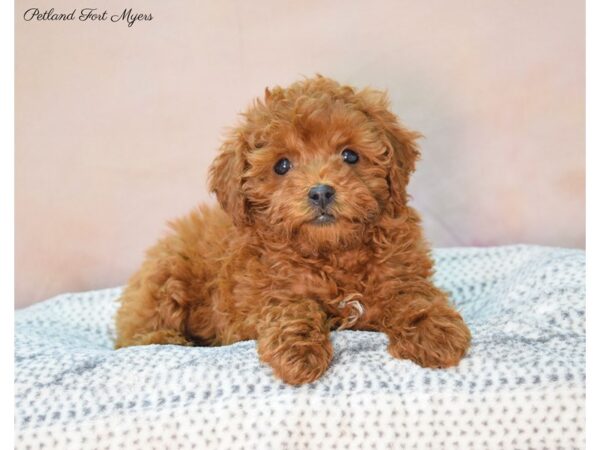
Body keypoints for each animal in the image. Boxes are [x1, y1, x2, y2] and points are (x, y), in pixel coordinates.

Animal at [115, 75, 472, 384]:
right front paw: (298, 354)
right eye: (282, 165)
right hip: (165, 277)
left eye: (350, 155)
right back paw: (167, 338)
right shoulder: (256, 299)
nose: (321, 192)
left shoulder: (401, 270)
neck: (333, 253)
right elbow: (292, 306)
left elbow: (413, 295)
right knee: (135, 334)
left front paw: (434, 333)